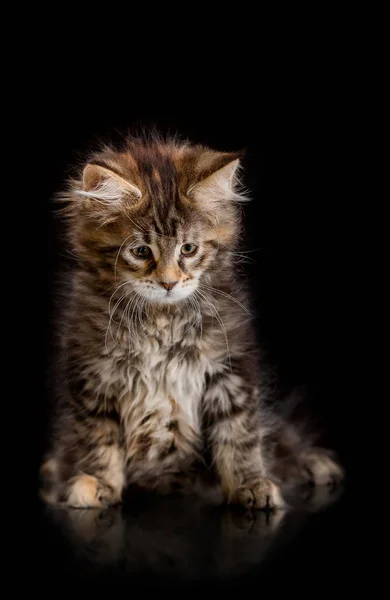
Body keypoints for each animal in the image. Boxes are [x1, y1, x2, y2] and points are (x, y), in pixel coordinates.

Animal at [40, 134, 344, 508]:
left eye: (188, 249)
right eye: (140, 251)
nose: (169, 283)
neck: (161, 320)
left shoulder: (229, 367)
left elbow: (239, 433)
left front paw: (250, 483)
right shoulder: (92, 376)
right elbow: (99, 439)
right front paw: (98, 482)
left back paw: (314, 464)